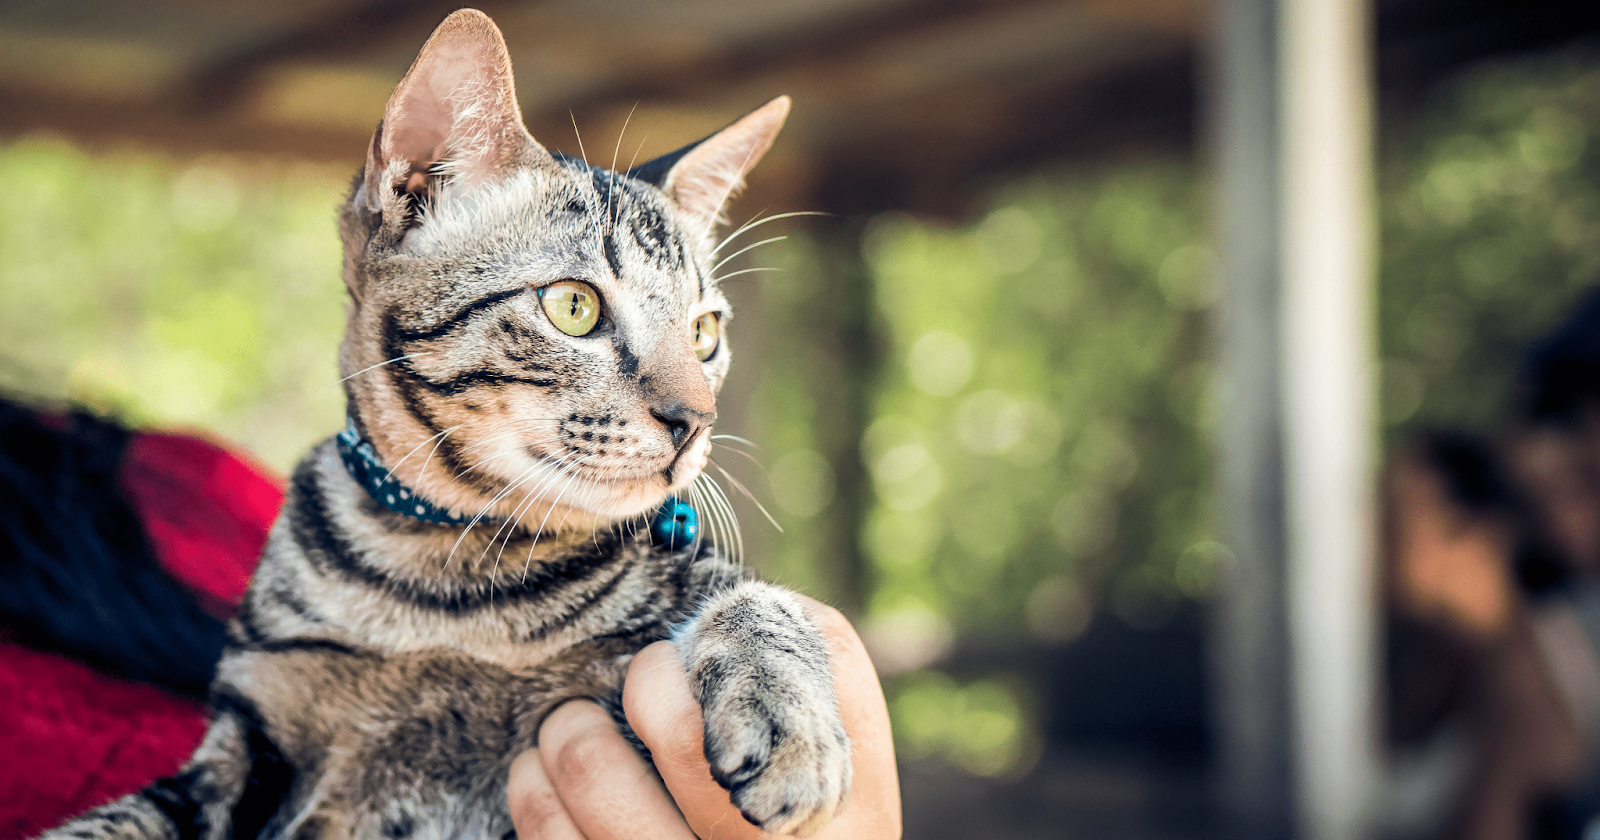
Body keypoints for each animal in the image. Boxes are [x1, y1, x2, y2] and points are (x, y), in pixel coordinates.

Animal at [37, 11, 851, 838]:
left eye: (704, 334)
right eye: (574, 306)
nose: (695, 421)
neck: (444, 587)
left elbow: (756, 597)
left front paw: (791, 719)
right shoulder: (245, 738)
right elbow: (114, 824)